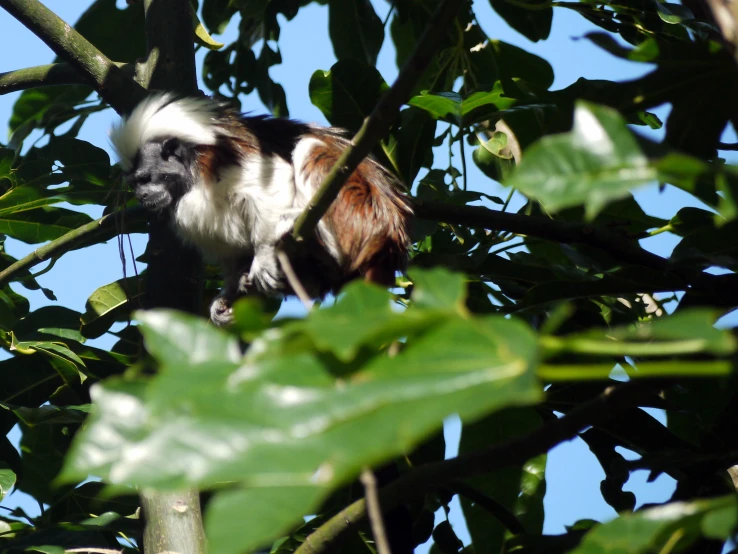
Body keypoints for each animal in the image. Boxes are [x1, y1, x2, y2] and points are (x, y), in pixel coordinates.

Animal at [111, 94, 412, 324]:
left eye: (145, 179)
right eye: (134, 184)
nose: (142, 196)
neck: (191, 174)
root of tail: (390, 240)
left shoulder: (223, 159)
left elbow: (270, 183)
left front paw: (265, 256)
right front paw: (227, 296)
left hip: (358, 211)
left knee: (311, 148)